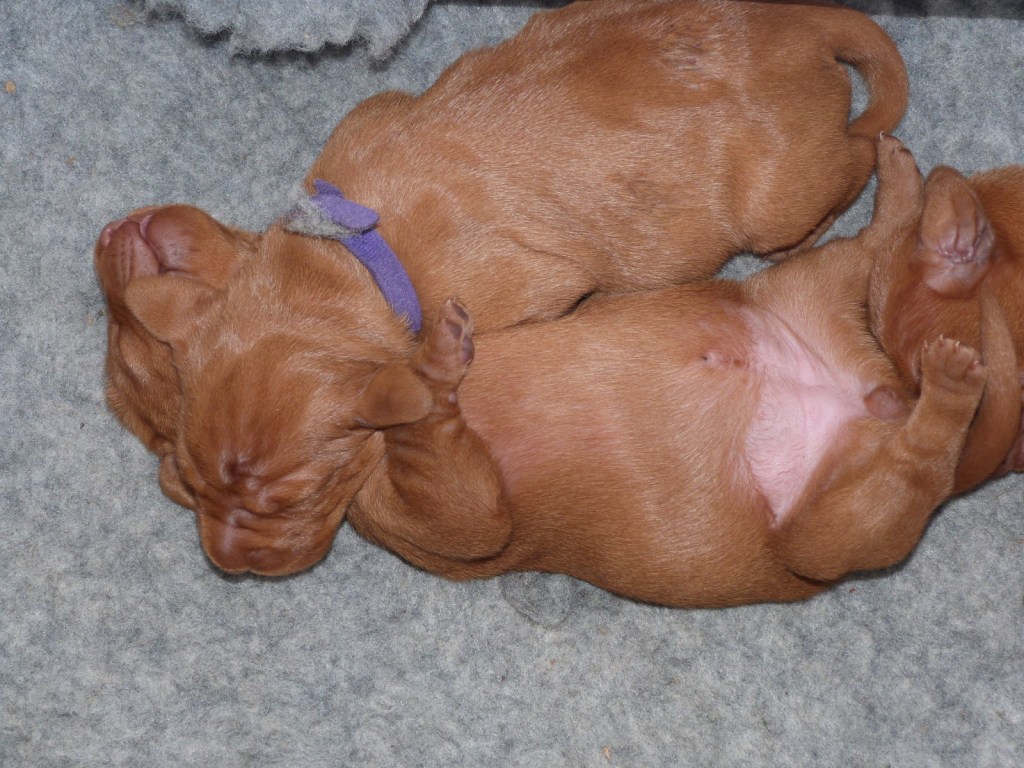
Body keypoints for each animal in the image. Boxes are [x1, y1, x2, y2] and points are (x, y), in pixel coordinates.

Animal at [95, 0, 907, 510]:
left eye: (287, 491)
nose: (108, 239)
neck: (354, 261)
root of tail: (801, 25)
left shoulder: (535, 289)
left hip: (781, 194)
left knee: (858, 152)